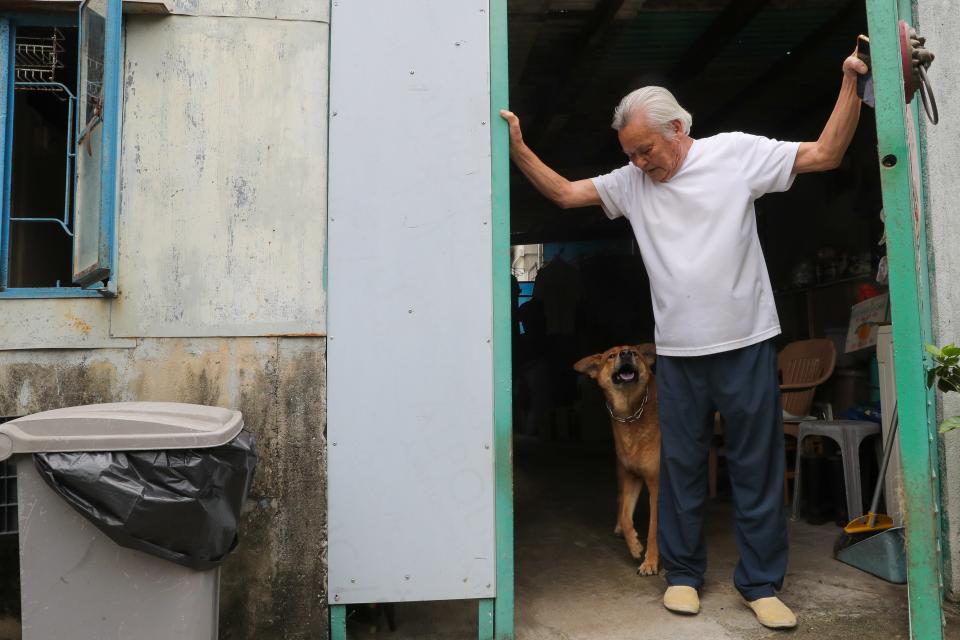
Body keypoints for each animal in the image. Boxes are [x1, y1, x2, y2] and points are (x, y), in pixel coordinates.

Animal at [572, 344, 656, 576]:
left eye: (635, 353)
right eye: (610, 356)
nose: (626, 353)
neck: (631, 412)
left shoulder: (658, 486)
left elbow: (654, 529)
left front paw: (650, 562)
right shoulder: (632, 476)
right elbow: (627, 517)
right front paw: (634, 545)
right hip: (621, 470)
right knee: (620, 502)